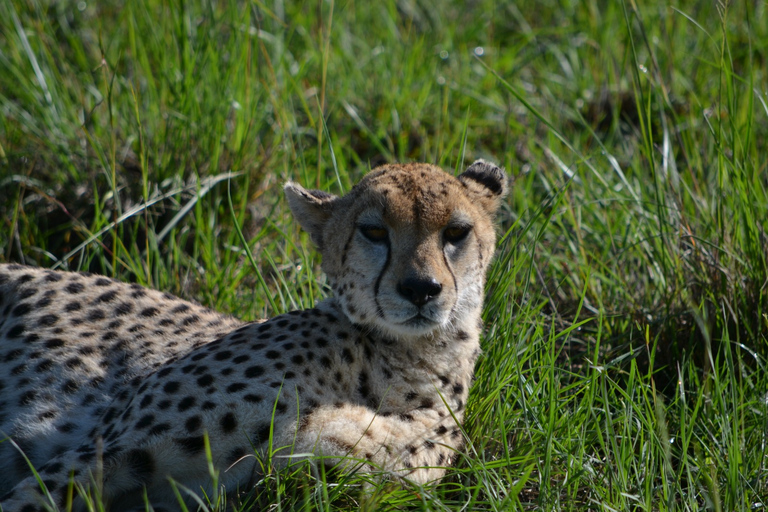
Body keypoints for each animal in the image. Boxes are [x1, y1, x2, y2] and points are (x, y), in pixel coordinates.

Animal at [0, 161, 510, 512]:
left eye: (456, 232)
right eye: (373, 231)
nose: (421, 288)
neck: (400, 363)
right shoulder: (103, 452)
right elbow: (31, 496)